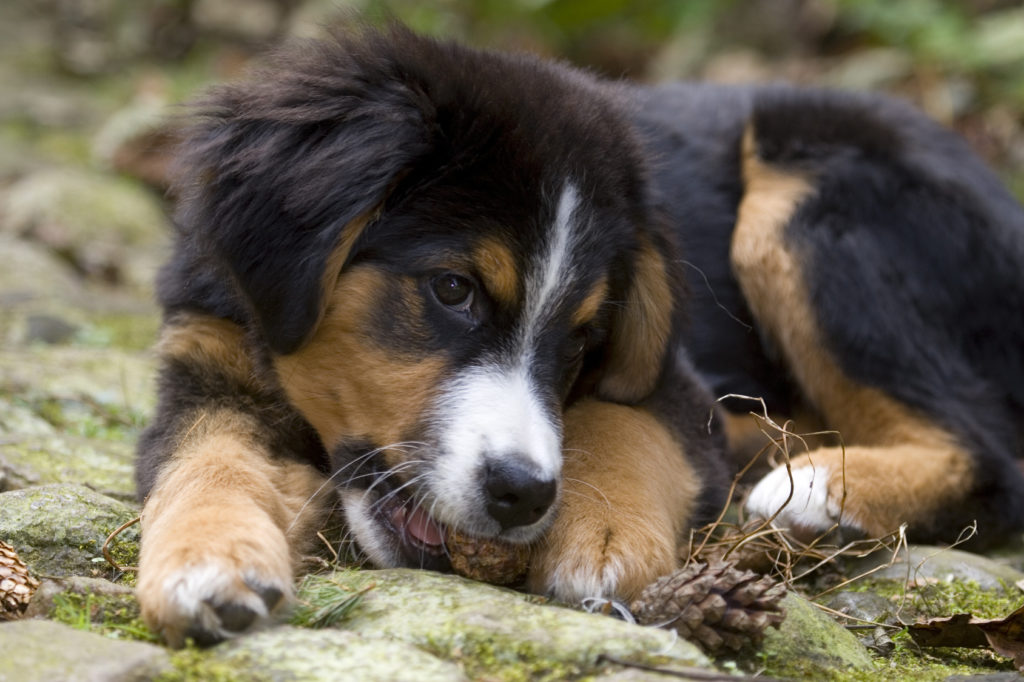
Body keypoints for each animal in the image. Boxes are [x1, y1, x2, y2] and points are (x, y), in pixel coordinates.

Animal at [134, 25, 1024, 643]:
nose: (523, 493)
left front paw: (600, 537)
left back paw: (818, 491)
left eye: (585, 334)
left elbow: (619, 422)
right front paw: (209, 564)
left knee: (989, 454)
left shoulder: (673, 380)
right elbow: (204, 460)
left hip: (812, 193)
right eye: (452, 289)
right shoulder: (205, 360)